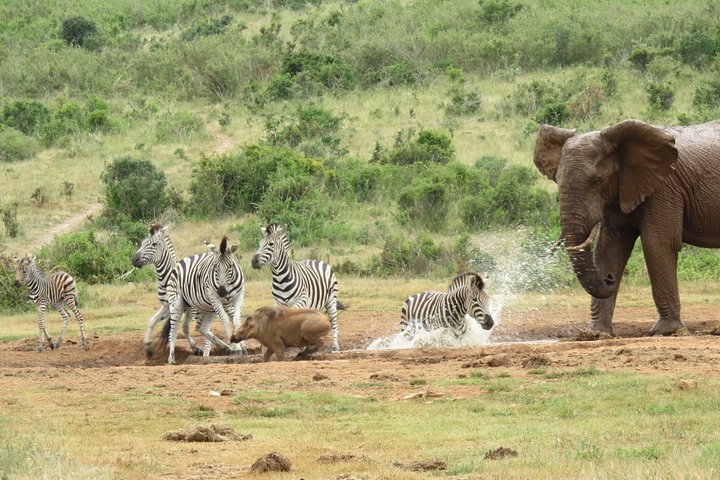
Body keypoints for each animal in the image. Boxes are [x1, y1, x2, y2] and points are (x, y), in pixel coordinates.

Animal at [533, 119, 720, 336]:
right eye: (557, 181)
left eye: (596, 182)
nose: (609, 279)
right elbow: (609, 248)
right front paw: (596, 334)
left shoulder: (664, 188)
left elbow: (657, 243)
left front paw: (665, 331)